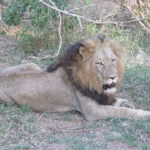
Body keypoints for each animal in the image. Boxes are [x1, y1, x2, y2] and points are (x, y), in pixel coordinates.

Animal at [0, 34, 150, 120]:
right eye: (99, 63)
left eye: (113, 60)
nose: (113, 77)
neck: (93, 82)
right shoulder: (93, 112)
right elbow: (123, 112)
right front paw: (144, 114)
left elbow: (117, 103)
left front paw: (125, 102)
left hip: (32, 65)